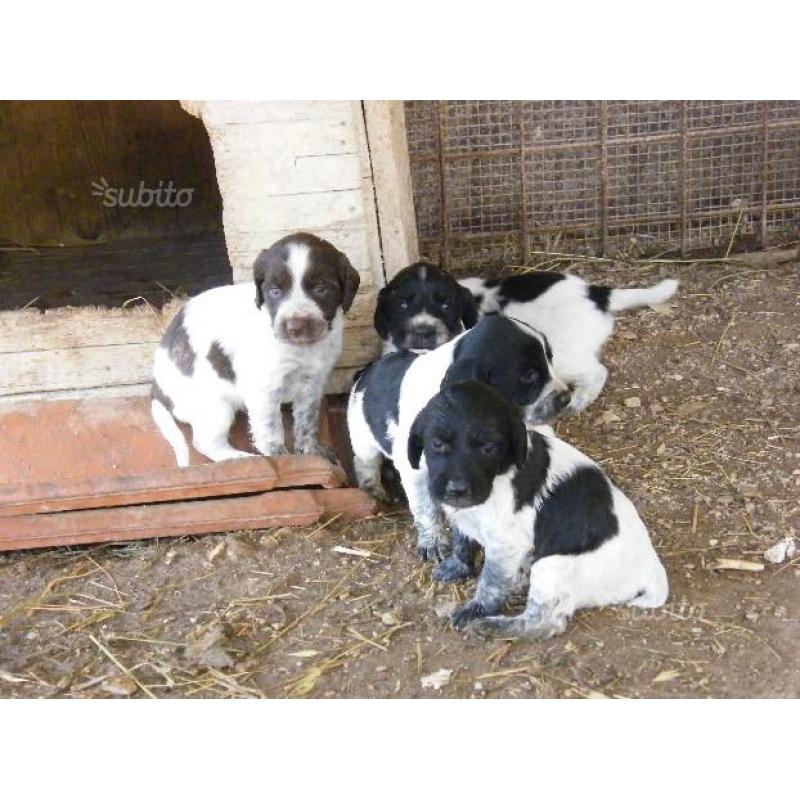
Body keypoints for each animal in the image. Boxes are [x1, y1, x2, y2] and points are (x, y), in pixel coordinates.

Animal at [149, 231, 360, 466]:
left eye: (321, 289)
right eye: (275, 291)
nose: (295, 327)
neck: (301, 349)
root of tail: (157, 390)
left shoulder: (313, 383)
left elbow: (307, 422)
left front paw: (312, 452)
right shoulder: (263, 389)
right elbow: (271, 430)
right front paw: (283, 459)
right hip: (215, 405)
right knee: (205, 442)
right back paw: (240, 458)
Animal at [346, 312, 572, 564]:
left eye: (550, 359)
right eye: (528, 376)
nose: (566, 398)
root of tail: (365, 373)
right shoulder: (415, 469)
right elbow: (426, 509)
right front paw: (433, 542)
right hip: (363, 438)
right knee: (364, 463)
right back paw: (374, 490)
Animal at [406, 380, 668, 636]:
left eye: (489, 448)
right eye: (437, 444)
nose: (457, 489)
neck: (500, 474)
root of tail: (652, 571)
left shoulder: (505, 545)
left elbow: (490, 583)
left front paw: (476, 610)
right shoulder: (465, 518)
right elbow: (463, 544)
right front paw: (458, 567)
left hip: (552, 566)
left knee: (542, 623)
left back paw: (491, 626)